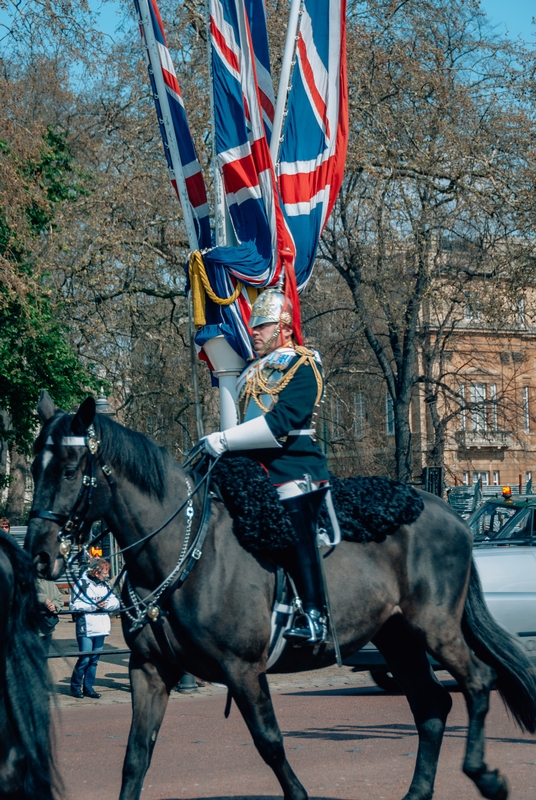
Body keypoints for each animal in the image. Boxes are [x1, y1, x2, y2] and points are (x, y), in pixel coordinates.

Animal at [28, 396, 536, 800]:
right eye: (34, 467)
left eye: (69, 470)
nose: (38, 554)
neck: (184, 549)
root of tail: (448, 511)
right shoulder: (149, 670)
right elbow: (136, 757)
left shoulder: (243, 669)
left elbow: (270, 744)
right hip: (398, 638)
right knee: (432, 706)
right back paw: (417, 793)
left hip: (435, 627)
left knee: (478, 681)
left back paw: (484, 775)